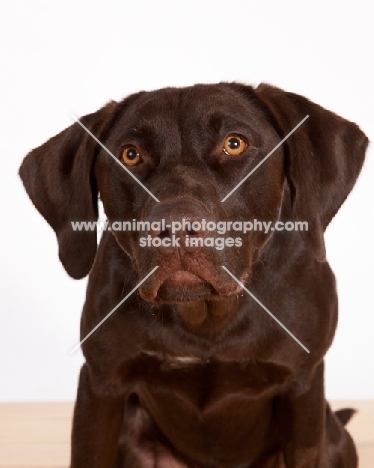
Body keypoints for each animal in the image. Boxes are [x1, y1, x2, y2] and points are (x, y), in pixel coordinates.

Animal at [19, 84, 366, 468]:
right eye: (130, 155)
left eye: (235, 144)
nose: (175, 228)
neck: (204, 314)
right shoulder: (101, 384)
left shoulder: (302, 389)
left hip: (332, 437)